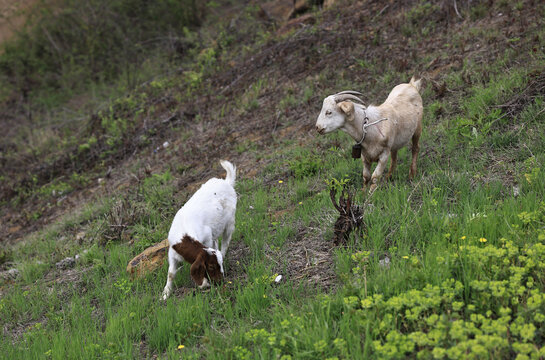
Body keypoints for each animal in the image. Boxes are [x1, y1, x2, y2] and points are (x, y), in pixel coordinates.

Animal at [163, 160, 237, 298]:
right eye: (211, 266)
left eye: (219, 265)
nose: (220, 281)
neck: (184, 235)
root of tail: (226, 182)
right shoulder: (172, 252)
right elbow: (171, 273)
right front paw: (165, 293)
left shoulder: (207, 238)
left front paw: (204, 284)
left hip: (230, 221)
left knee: (226, 240)